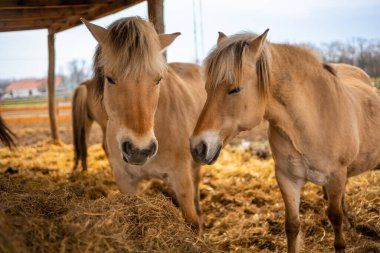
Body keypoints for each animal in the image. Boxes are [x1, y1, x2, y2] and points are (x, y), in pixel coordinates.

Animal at [79, 16, 205, 231]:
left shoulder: (182, 178)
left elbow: (192, 221)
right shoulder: (125, 181)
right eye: (110, 78)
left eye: (158, 79)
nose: (139, 150)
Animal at [190, 30, 380, 252]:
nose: (197, 147)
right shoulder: (288, 178)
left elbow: (335, 220)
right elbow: (292, 225)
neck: (311, 120)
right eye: (207, 88)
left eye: (234, 89)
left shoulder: (335, 177)